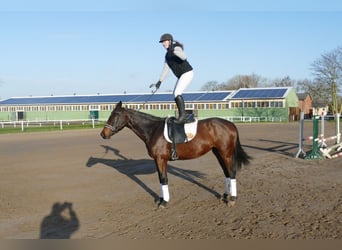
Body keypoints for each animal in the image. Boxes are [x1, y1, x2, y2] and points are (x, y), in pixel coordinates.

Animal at [100, 101, 250, 207]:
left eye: (115, 116)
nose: (103, 134)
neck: (153, 130)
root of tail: (231, 124)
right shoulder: (158, 160)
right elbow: (161, 179)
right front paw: (161, 199)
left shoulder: (160, 159)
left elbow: (163, 179)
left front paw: (164, 202)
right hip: (217, 152)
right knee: (226, 173)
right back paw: (225, 195)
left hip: (226, 153)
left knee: (232, 173)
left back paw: (232, 199)